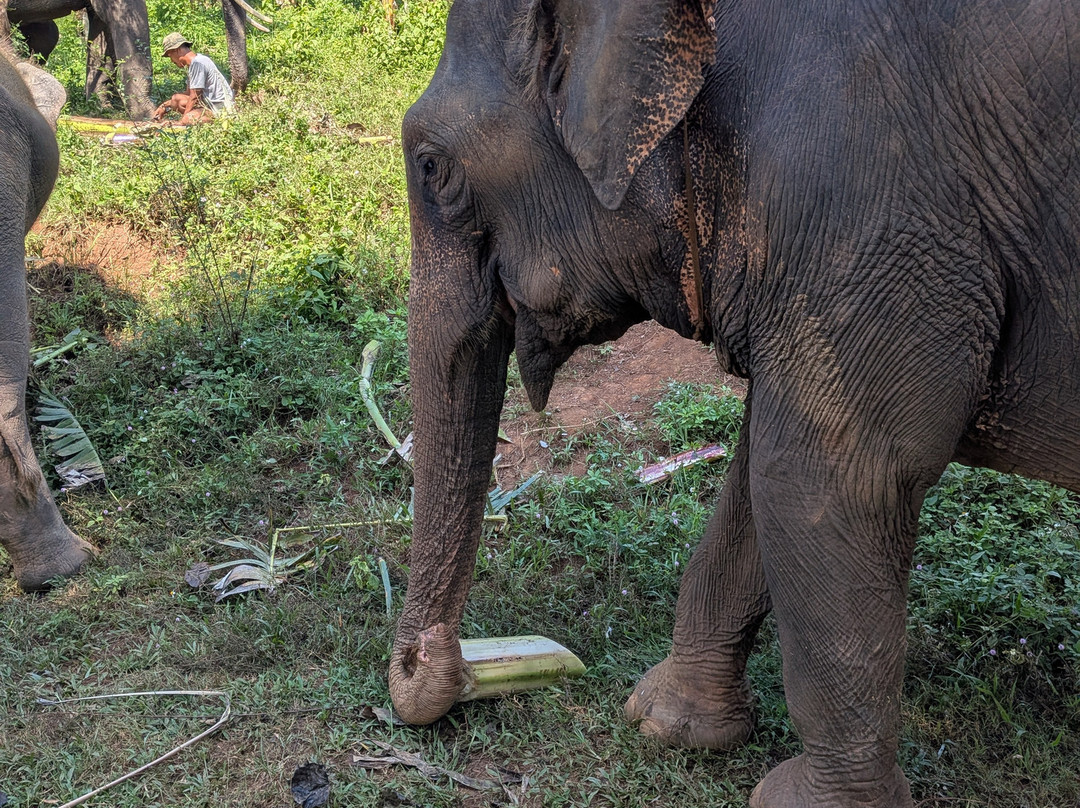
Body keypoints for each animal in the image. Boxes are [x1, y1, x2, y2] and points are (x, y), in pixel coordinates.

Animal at [388, 0, 1080, 805]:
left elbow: (824, 475)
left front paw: (793, 799)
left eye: (432, 167)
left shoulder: (861, 204)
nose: (445, 675)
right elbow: (764, 468)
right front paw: (666, 725)